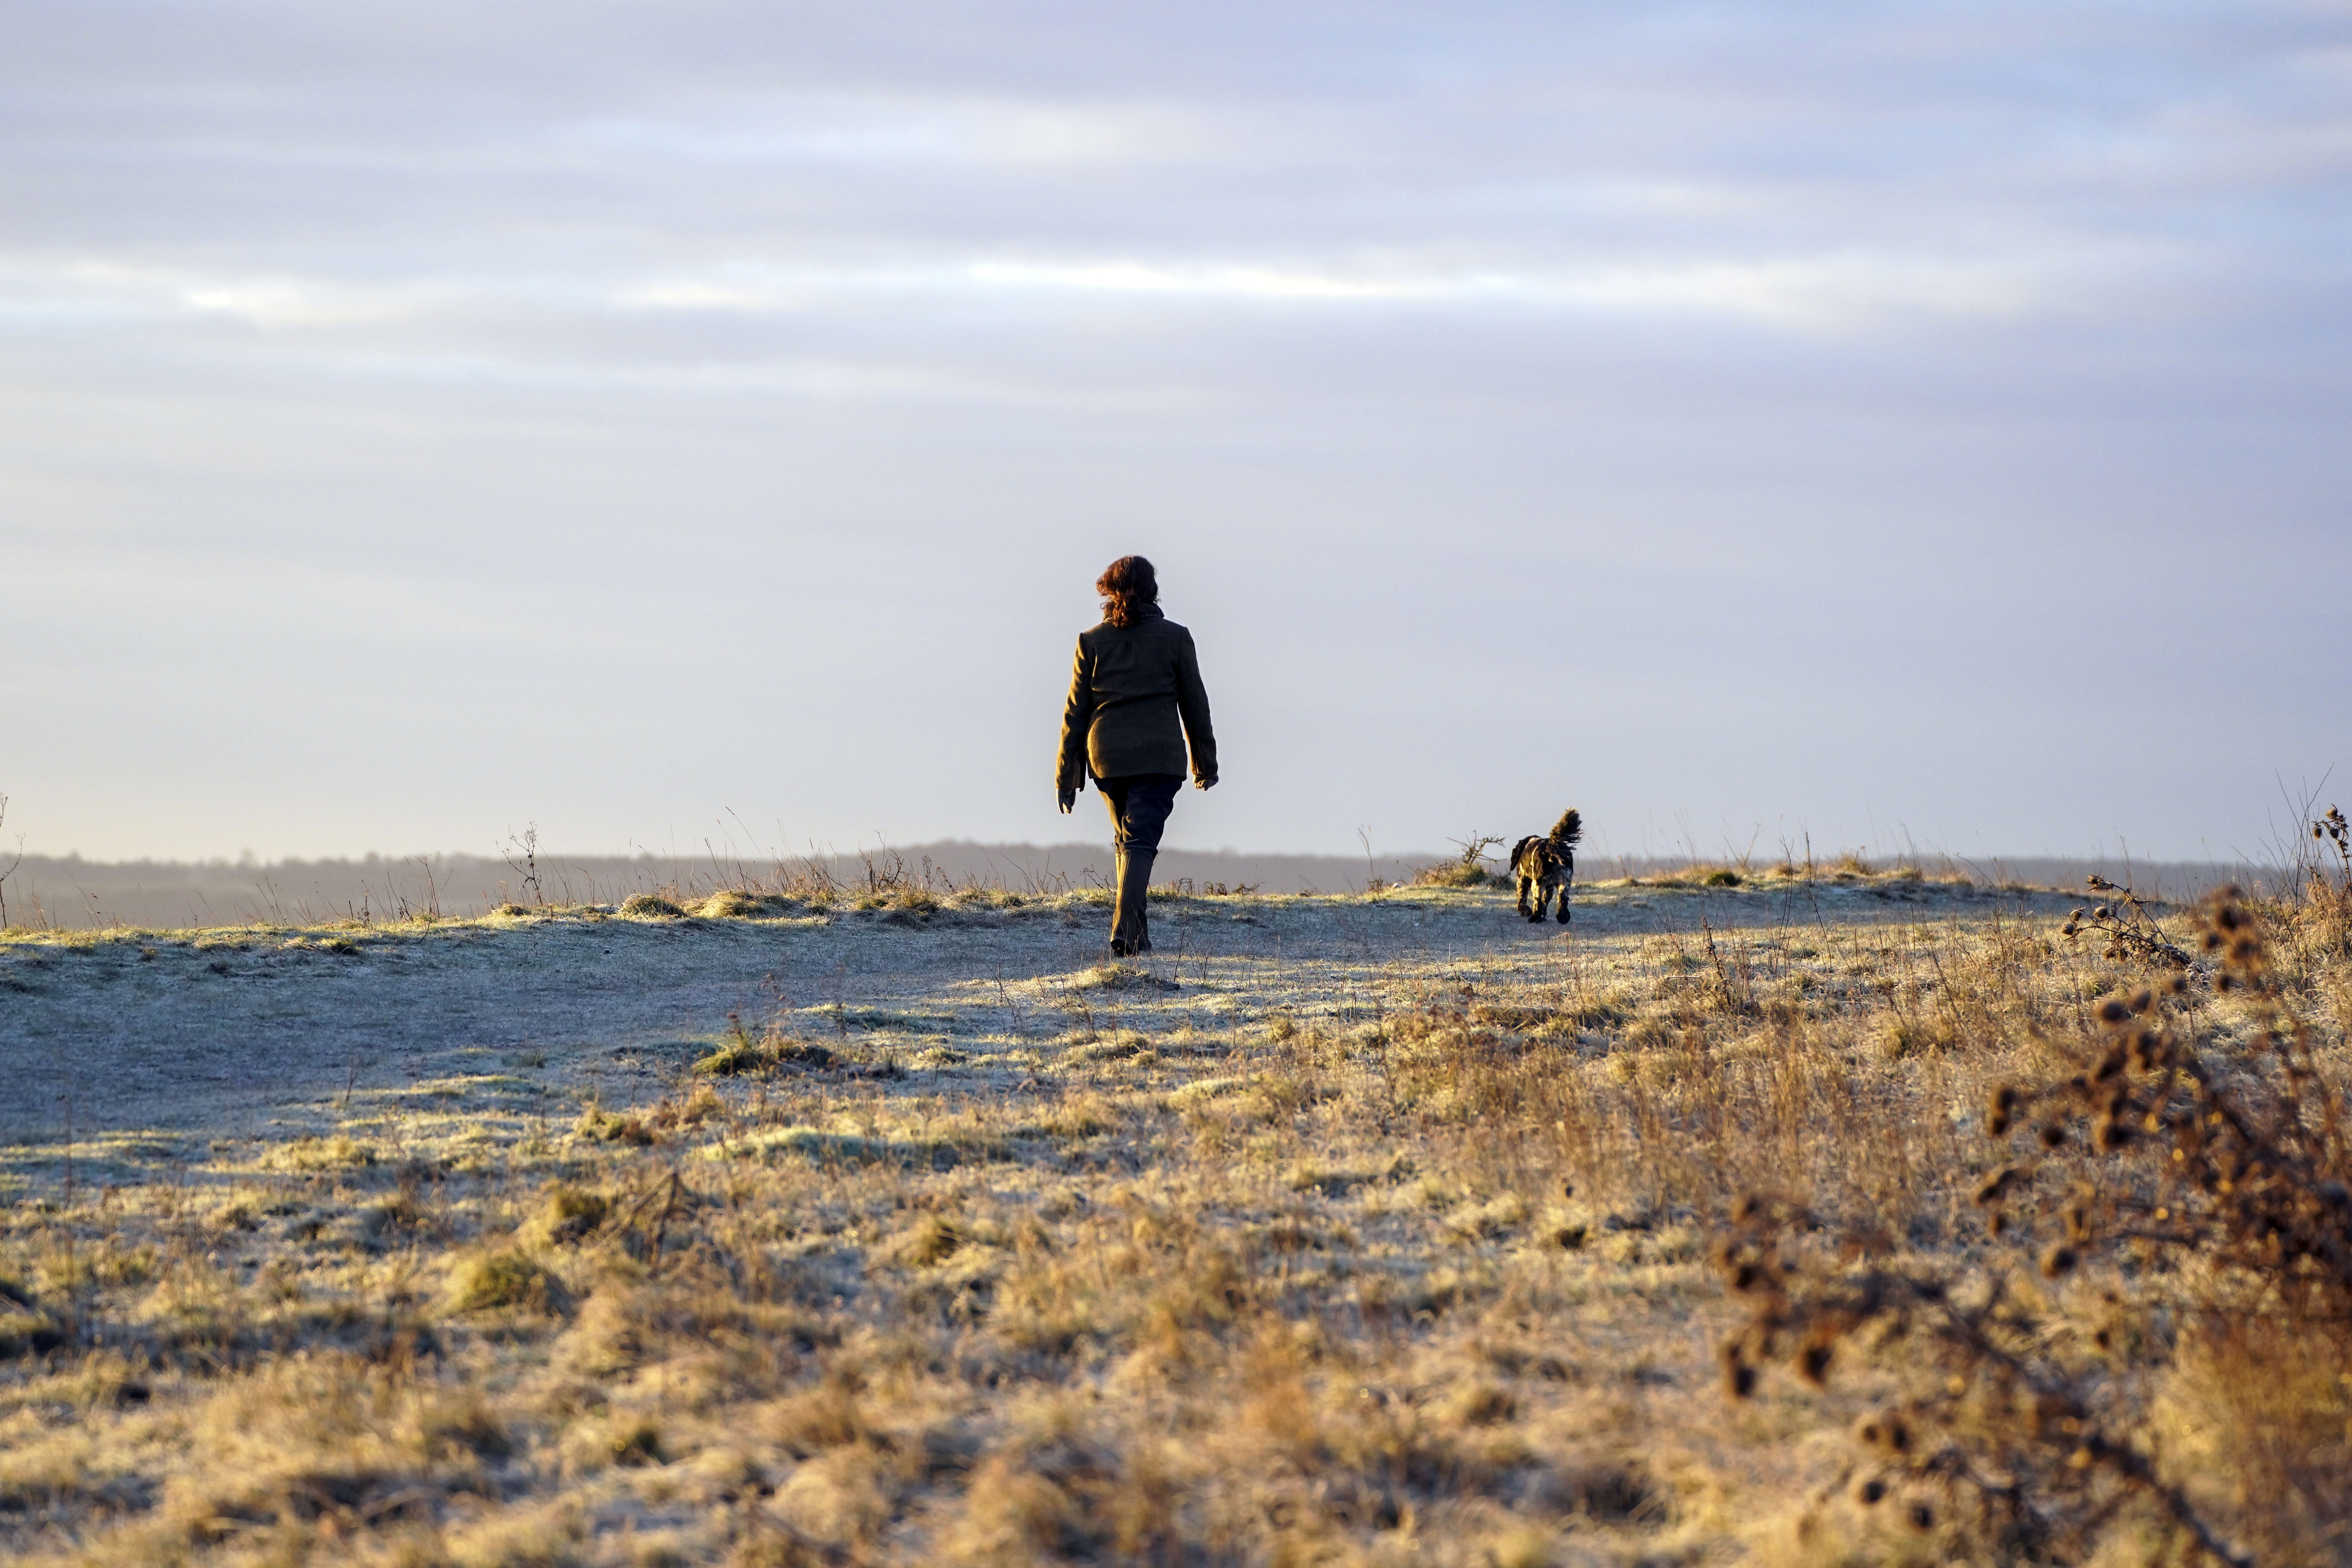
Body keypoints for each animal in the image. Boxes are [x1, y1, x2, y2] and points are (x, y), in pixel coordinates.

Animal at [1515, 808, 1590, 921]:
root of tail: (1552, 845)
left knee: (1538, 901)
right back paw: (1563, 917)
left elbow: (1523, 897)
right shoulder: (1550, 886)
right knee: (1563, 898)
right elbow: (1546, 900)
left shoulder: (1523, 878)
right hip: (1565, 882)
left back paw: (1535, 918)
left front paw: (1525, 911)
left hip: (1538, 883)